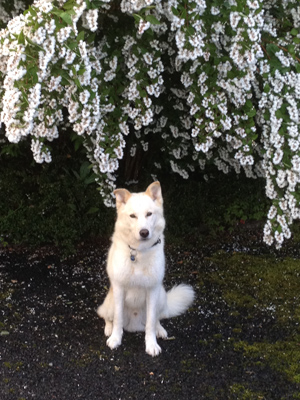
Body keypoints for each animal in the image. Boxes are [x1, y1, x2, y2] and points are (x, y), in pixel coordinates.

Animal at [96, 181, 195, 356]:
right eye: (132, 216)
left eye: (149, 214)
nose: (144, 232)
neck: (138, 252)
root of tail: (134, 325)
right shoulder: (119, 289)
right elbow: (118, 320)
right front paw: (115, 339)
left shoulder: (153, 290)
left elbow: (150, 322)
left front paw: (151, 344)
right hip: (110, 302)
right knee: (108, 317)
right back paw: (108, 329)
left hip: (161, 296)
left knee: (156, 320)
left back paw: (160, 330)